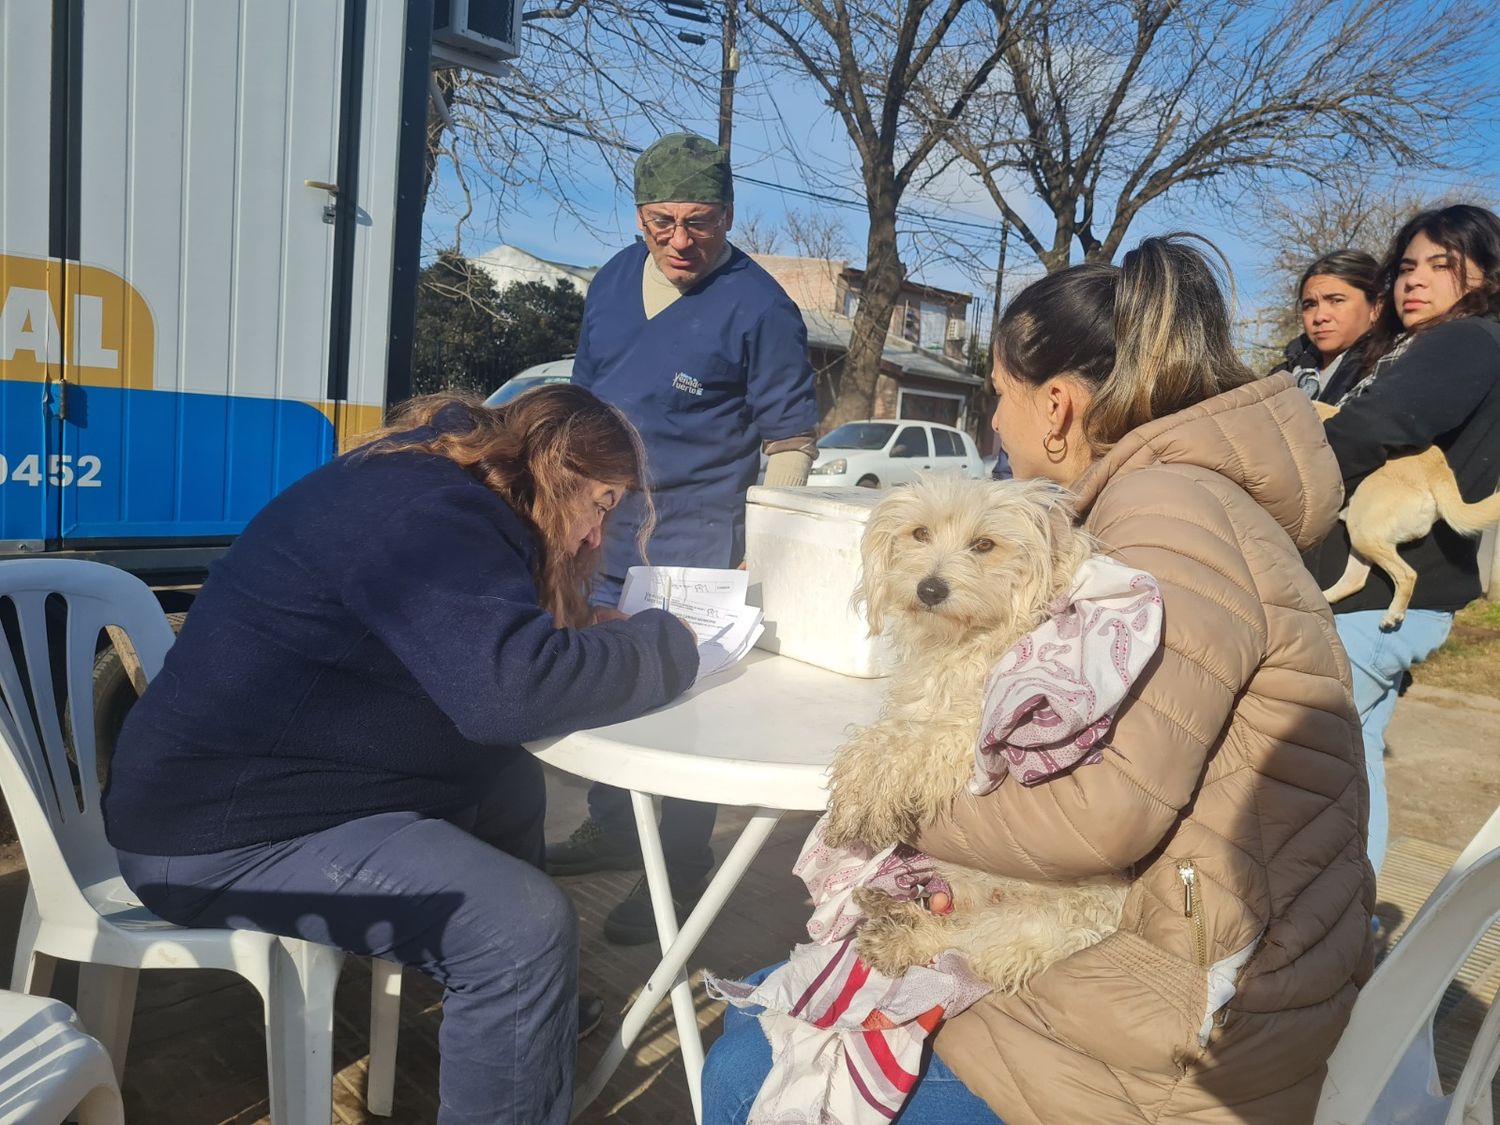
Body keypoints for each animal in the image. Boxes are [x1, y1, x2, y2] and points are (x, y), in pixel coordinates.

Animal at [822, 477, 1128, 996]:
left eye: (984, 545)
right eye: (920, 533)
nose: (929, 588)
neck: (961, 645)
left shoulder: (987, 728)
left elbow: (914, 741)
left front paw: (868, 796)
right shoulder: (915, 705)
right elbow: (882, 736)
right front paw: (857, 788)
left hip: (1031, 929)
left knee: (963, 939)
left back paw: (896, 938)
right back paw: (888, 907)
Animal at [1314, 402, 1500, 630]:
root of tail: (1438, 471)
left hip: (1363, 531)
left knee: (1406, 575)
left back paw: (1393, 614)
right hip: (1362, 535)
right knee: (1354, 580)